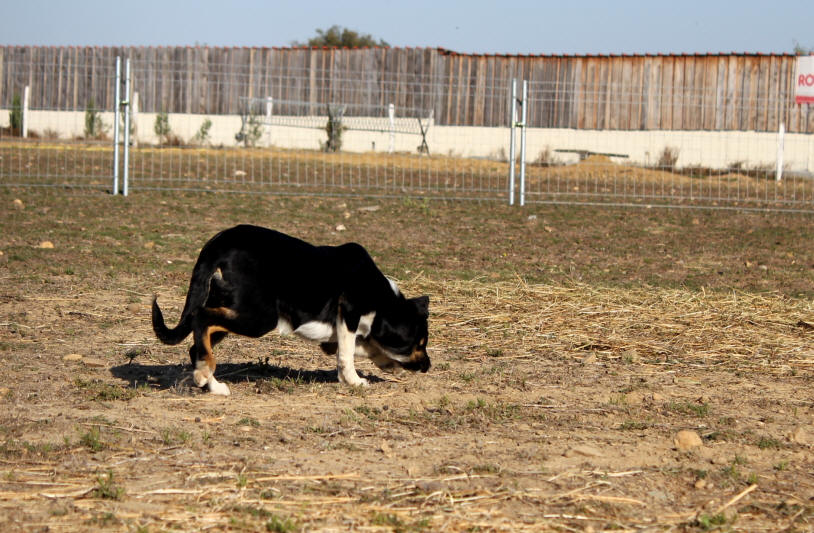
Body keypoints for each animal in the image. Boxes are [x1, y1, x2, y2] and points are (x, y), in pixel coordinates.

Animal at [153, 224, 434, 394]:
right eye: (419, 343)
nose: (428, 366)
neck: (380, 296)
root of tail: (220, 241)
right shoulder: (348, 314)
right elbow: (347, 353)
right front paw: (355, 381)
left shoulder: (335, 335)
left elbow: (362, 347)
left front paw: (385, 363)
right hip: (259, 317)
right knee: (201, 319)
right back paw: (204, 374)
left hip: (232, 309)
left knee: (197, 342)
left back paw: (213, 384)